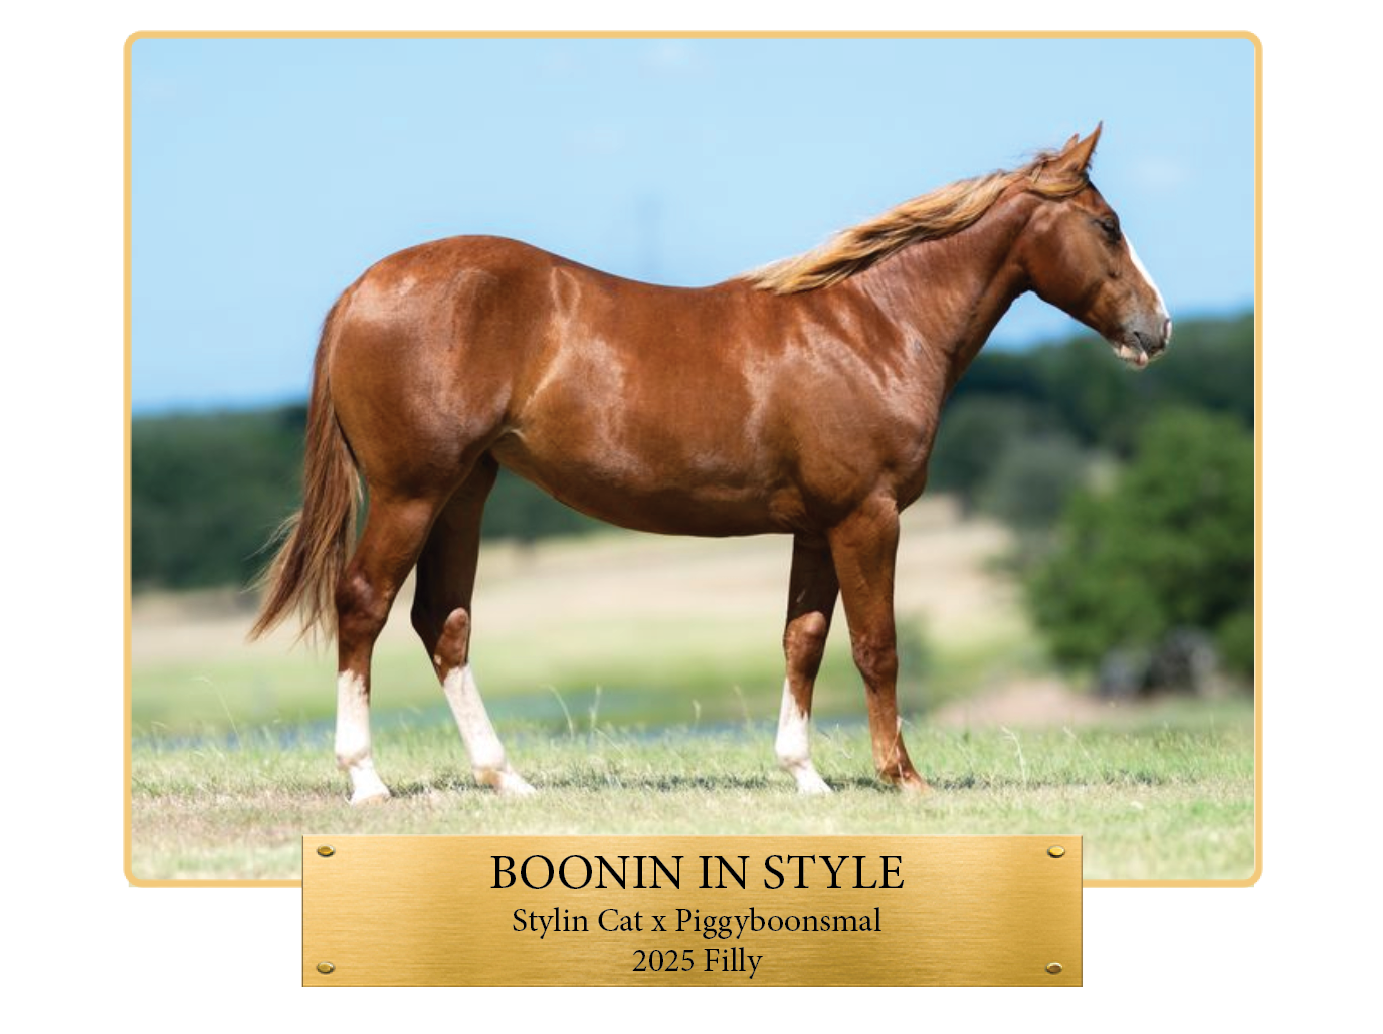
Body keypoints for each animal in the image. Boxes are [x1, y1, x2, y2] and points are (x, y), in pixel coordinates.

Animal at [250, 125, 1170, 803]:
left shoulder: (817, 525)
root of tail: (362, 290)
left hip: (464, 491)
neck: (871, 326)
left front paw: (804, 775)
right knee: (363, 605)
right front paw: (902, 777)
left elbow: (803, 640)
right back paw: (365, 780)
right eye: (1107, 225)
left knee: (442, 621)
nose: (1156, 327)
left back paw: (504, 777)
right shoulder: (865, 517)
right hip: (412, 491)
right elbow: (876, 646)